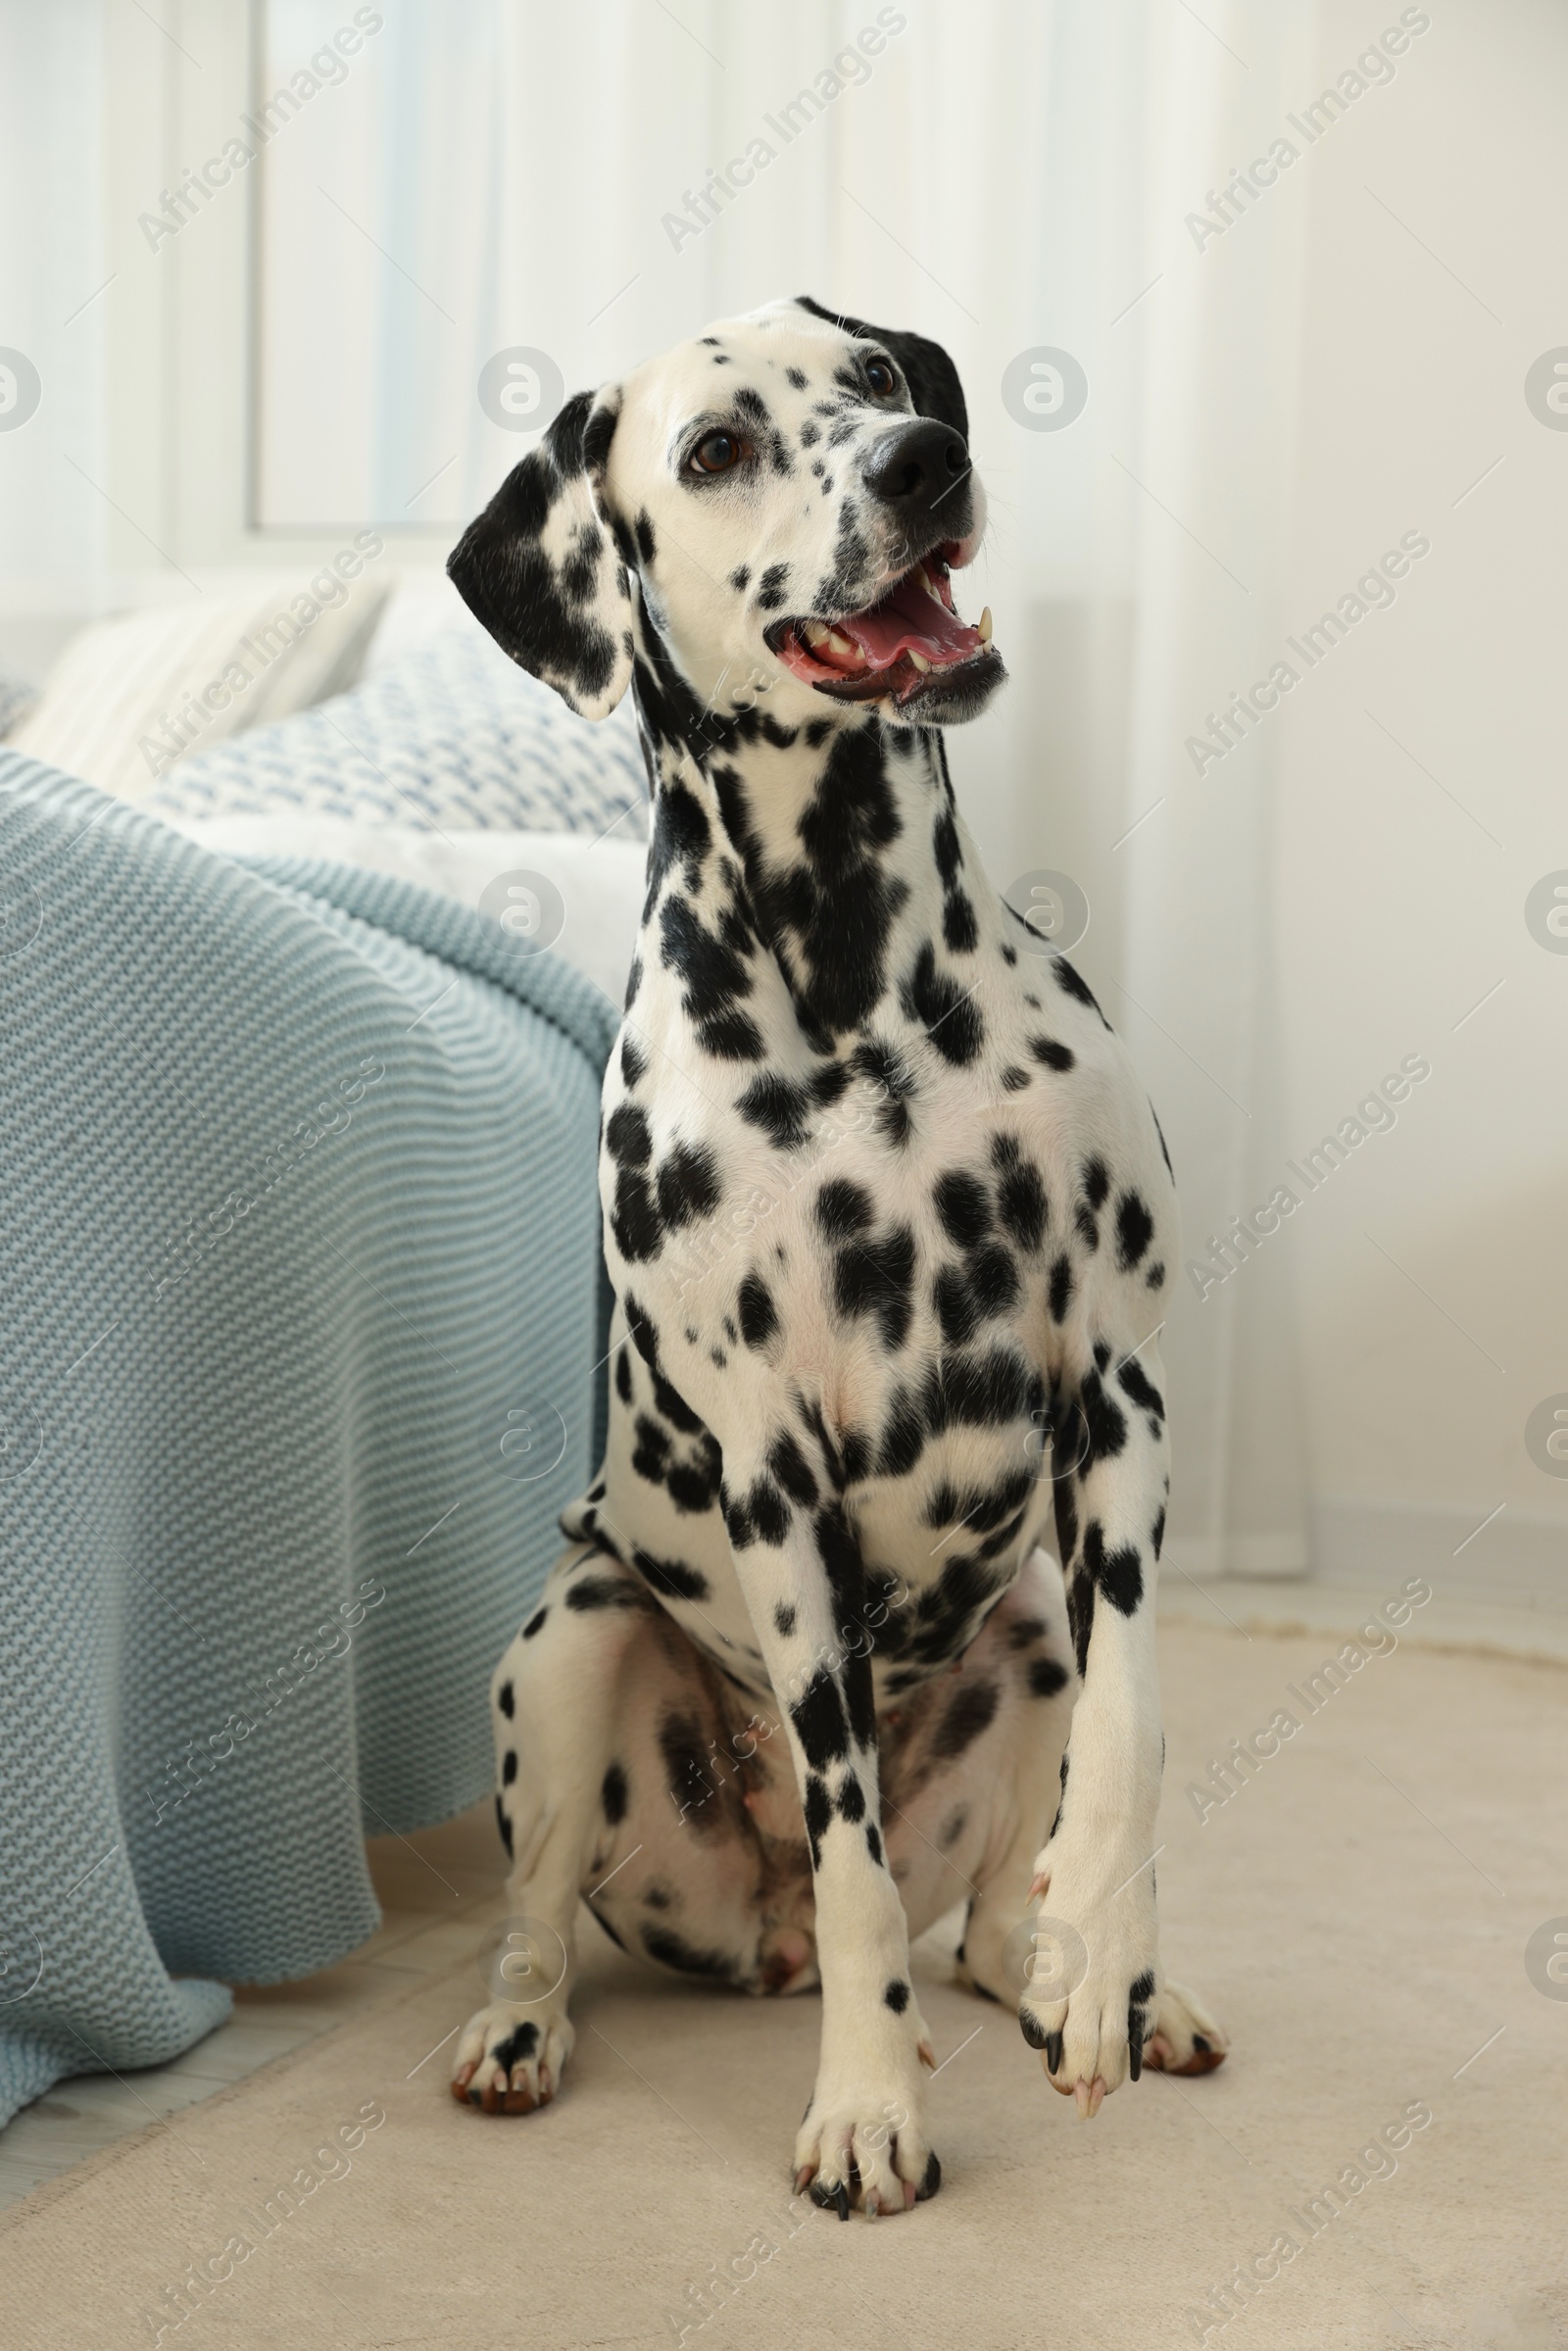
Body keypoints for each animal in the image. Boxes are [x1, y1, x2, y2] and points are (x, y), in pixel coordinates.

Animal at [441, 289, 1222, 2200]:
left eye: (870, 378)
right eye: (716, 446)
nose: (924, 461)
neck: (867, 987)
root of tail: (756, 1933)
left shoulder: (1120, 1391)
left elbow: (1134, 1730)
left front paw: (1112, 1958)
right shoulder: (773, 1479)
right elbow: (857, 1844)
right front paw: (868, 2100)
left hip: (1021, 1628)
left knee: (999, 1918)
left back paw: (1097, 1984)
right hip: (569, 1638)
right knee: (546, 1915)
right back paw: (518, 2031)